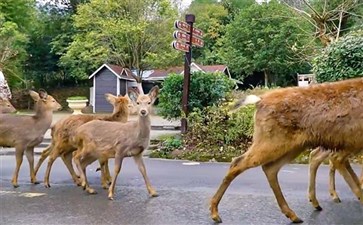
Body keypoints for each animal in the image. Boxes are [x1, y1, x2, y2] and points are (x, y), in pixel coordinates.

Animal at [209, 78, 363, 223]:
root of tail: (259, 101)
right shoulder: (352, 142)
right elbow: (342, 165)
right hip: (273, 141)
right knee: (238, 162)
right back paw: (215, 213)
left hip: (294, 145)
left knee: (270, 168)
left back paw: (294, 214)